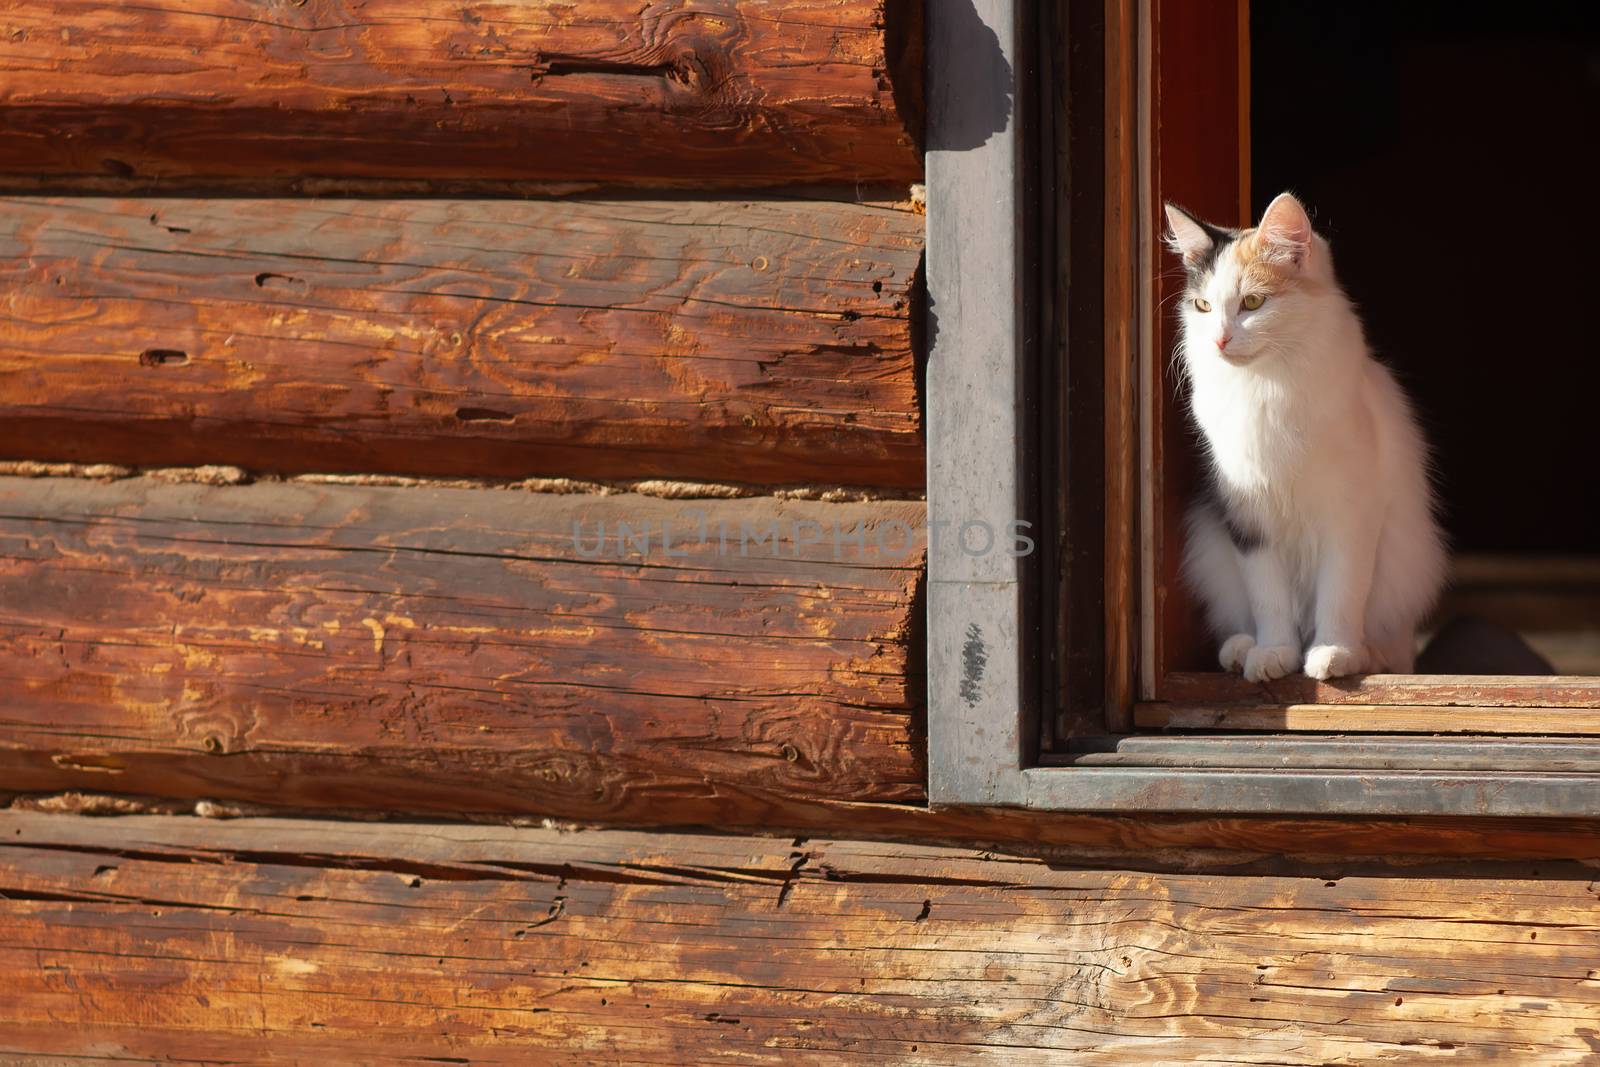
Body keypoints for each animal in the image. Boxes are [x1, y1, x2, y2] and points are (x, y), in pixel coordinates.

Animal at [1164, 189, 1452, 684]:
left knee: (1392, 644)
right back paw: (1241, 649)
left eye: (1253, 302)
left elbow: (1342, 591)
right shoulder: (1248, 518)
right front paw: (1274, 653)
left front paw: (1334, 653)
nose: (1219, 341)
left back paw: (1367, 654)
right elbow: (1268, 598)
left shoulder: (1352, 513)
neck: (1265, 386)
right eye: (1202, 307)